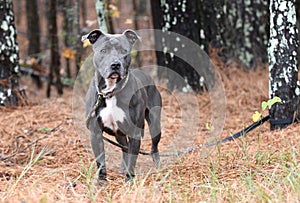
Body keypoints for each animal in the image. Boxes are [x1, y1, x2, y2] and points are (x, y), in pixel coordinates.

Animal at [82, 29, 162, 182]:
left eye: (124, 51)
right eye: (103, 50)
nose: (115, 64)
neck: (110, 92)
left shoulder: (135, 132)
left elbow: (133, 159)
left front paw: (129, 180)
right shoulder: (95, 133)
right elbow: (100, 162)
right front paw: (101, 183)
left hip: (155, 125)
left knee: (153, 147)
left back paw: (158, 166)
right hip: (118, 133)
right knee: (125, 148)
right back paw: (121, 168)